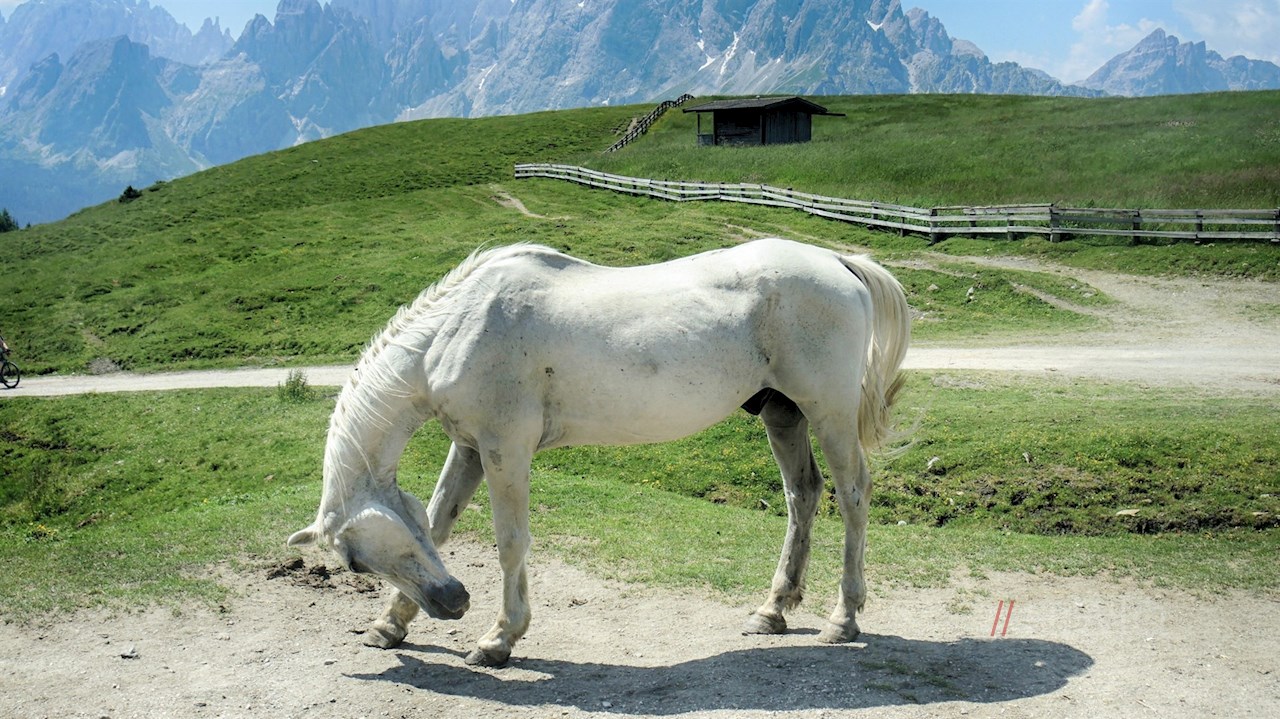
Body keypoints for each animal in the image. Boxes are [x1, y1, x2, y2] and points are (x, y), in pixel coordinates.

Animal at [287, 238, 911, 667]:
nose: (454, 600)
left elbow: (510, 542)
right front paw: (388, 625)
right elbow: (439, 524)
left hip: (828, 414)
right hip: (783, 414)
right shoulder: (468, 448)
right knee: (803, 496)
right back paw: (773, 610)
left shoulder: (504, 449)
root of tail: (837, 261)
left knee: (853, 495)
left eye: (351, 562)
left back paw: (843, 619)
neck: (456, 331)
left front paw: (498, 638)